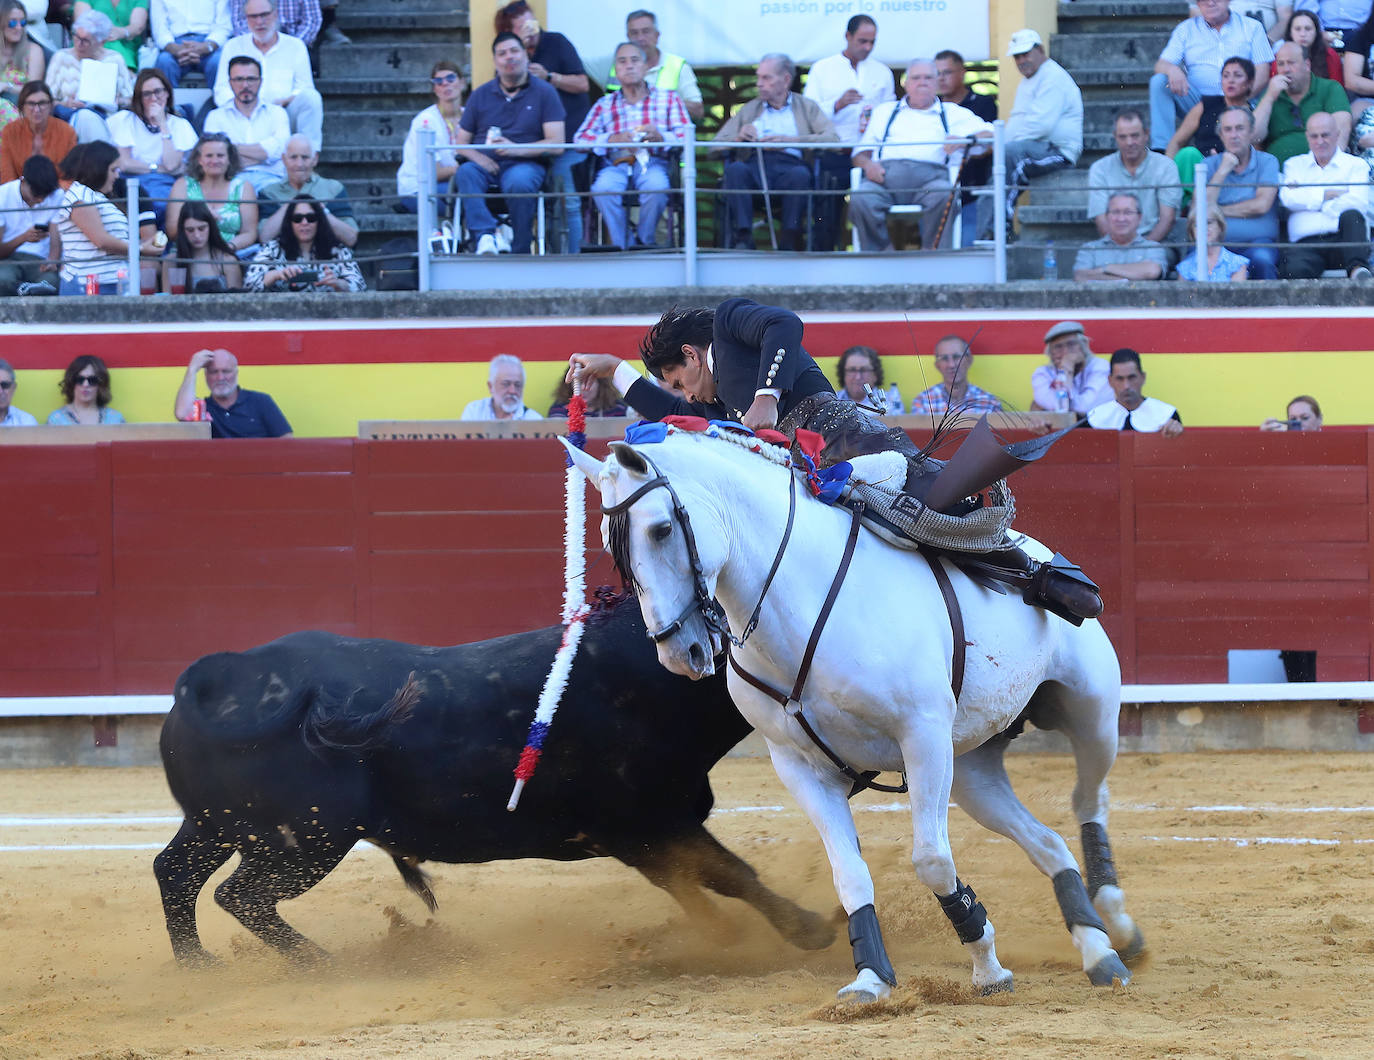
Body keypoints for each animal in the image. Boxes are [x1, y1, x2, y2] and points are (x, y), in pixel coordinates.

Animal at [154, 602, 829, 967]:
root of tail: (222, 672)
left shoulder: (645, 837)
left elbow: (696, 884)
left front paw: (723, 935)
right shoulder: (645, 824)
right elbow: (730, 874)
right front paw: (808, 928)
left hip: (218, 826)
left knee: (177, 873)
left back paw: (200, 968)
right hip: (306, 842)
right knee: (240, 895)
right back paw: (323, 966)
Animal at [563, 426, 1143, 1000]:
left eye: (661, 529)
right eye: (610, 541)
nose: (678, 652)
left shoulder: (922, 736)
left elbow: (931, 860)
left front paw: (987, 967)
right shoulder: (799, 767)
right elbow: (850, 873)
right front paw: (871, 978)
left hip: (1092, 711)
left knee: (1089, 798)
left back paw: (1118, 925)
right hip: (972, 767)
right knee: (1047, 841)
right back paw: (1097, 948)